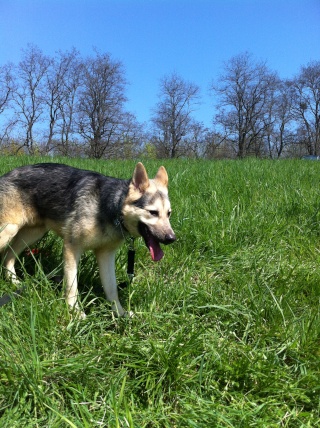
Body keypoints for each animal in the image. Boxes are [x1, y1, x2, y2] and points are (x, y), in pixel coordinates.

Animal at [0, 162, 175, 316]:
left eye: (169, 214)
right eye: (153, 212)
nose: (172, 238)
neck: (111, 208)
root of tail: (5, 175)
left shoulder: (106, 256)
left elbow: (112, 289)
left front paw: (120, 314)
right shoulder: (72, 249)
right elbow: (72, 287)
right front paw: (75, 313)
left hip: (32, 234)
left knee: (8, 256)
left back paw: (13, 281)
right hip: (9, 230)